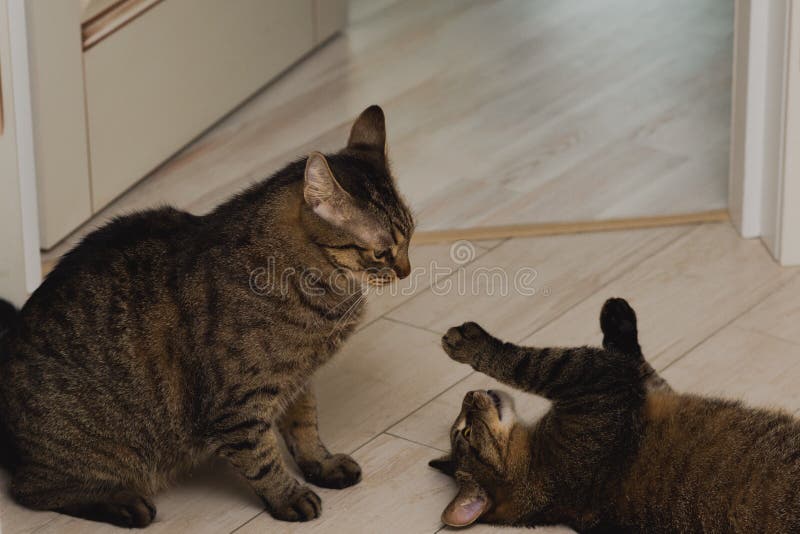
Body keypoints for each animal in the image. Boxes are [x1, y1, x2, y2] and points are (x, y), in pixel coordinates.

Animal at [0, 107, 412, 528]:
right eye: (382, 252)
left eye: (411, 237)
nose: (407, 270)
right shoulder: (238, 407)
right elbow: (263, 459)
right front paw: (289, 496)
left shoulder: (298, 380)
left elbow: (305, 426)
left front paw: (321, 464)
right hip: (97, 452)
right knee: (31, 490)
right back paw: (123, 503)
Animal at [434, 300, 800, 532]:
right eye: (464, 431)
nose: (467, 396)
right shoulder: (598, 380)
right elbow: (529, 363)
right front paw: (471, 345)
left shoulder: (640, 389)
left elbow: (637, 360)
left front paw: (617, 316)